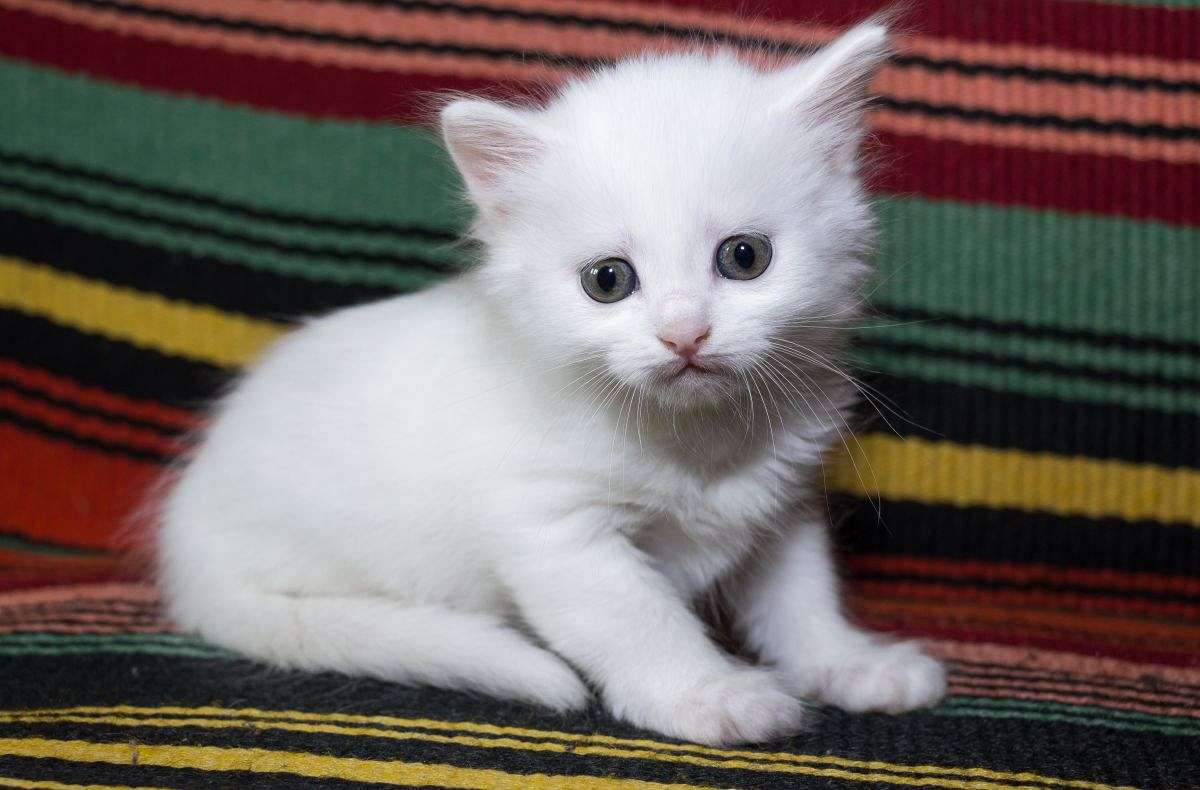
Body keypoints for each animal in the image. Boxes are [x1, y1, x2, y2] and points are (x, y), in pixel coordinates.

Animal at [157, 19, 945, 744]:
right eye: (608, 281)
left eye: (744, 258)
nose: (684, 334)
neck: (697, 441)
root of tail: (186, 552)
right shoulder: (555, 530)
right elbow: (639, 618)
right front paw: (711, 697)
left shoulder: (781, 509)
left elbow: (802, 604)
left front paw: (851, 664)